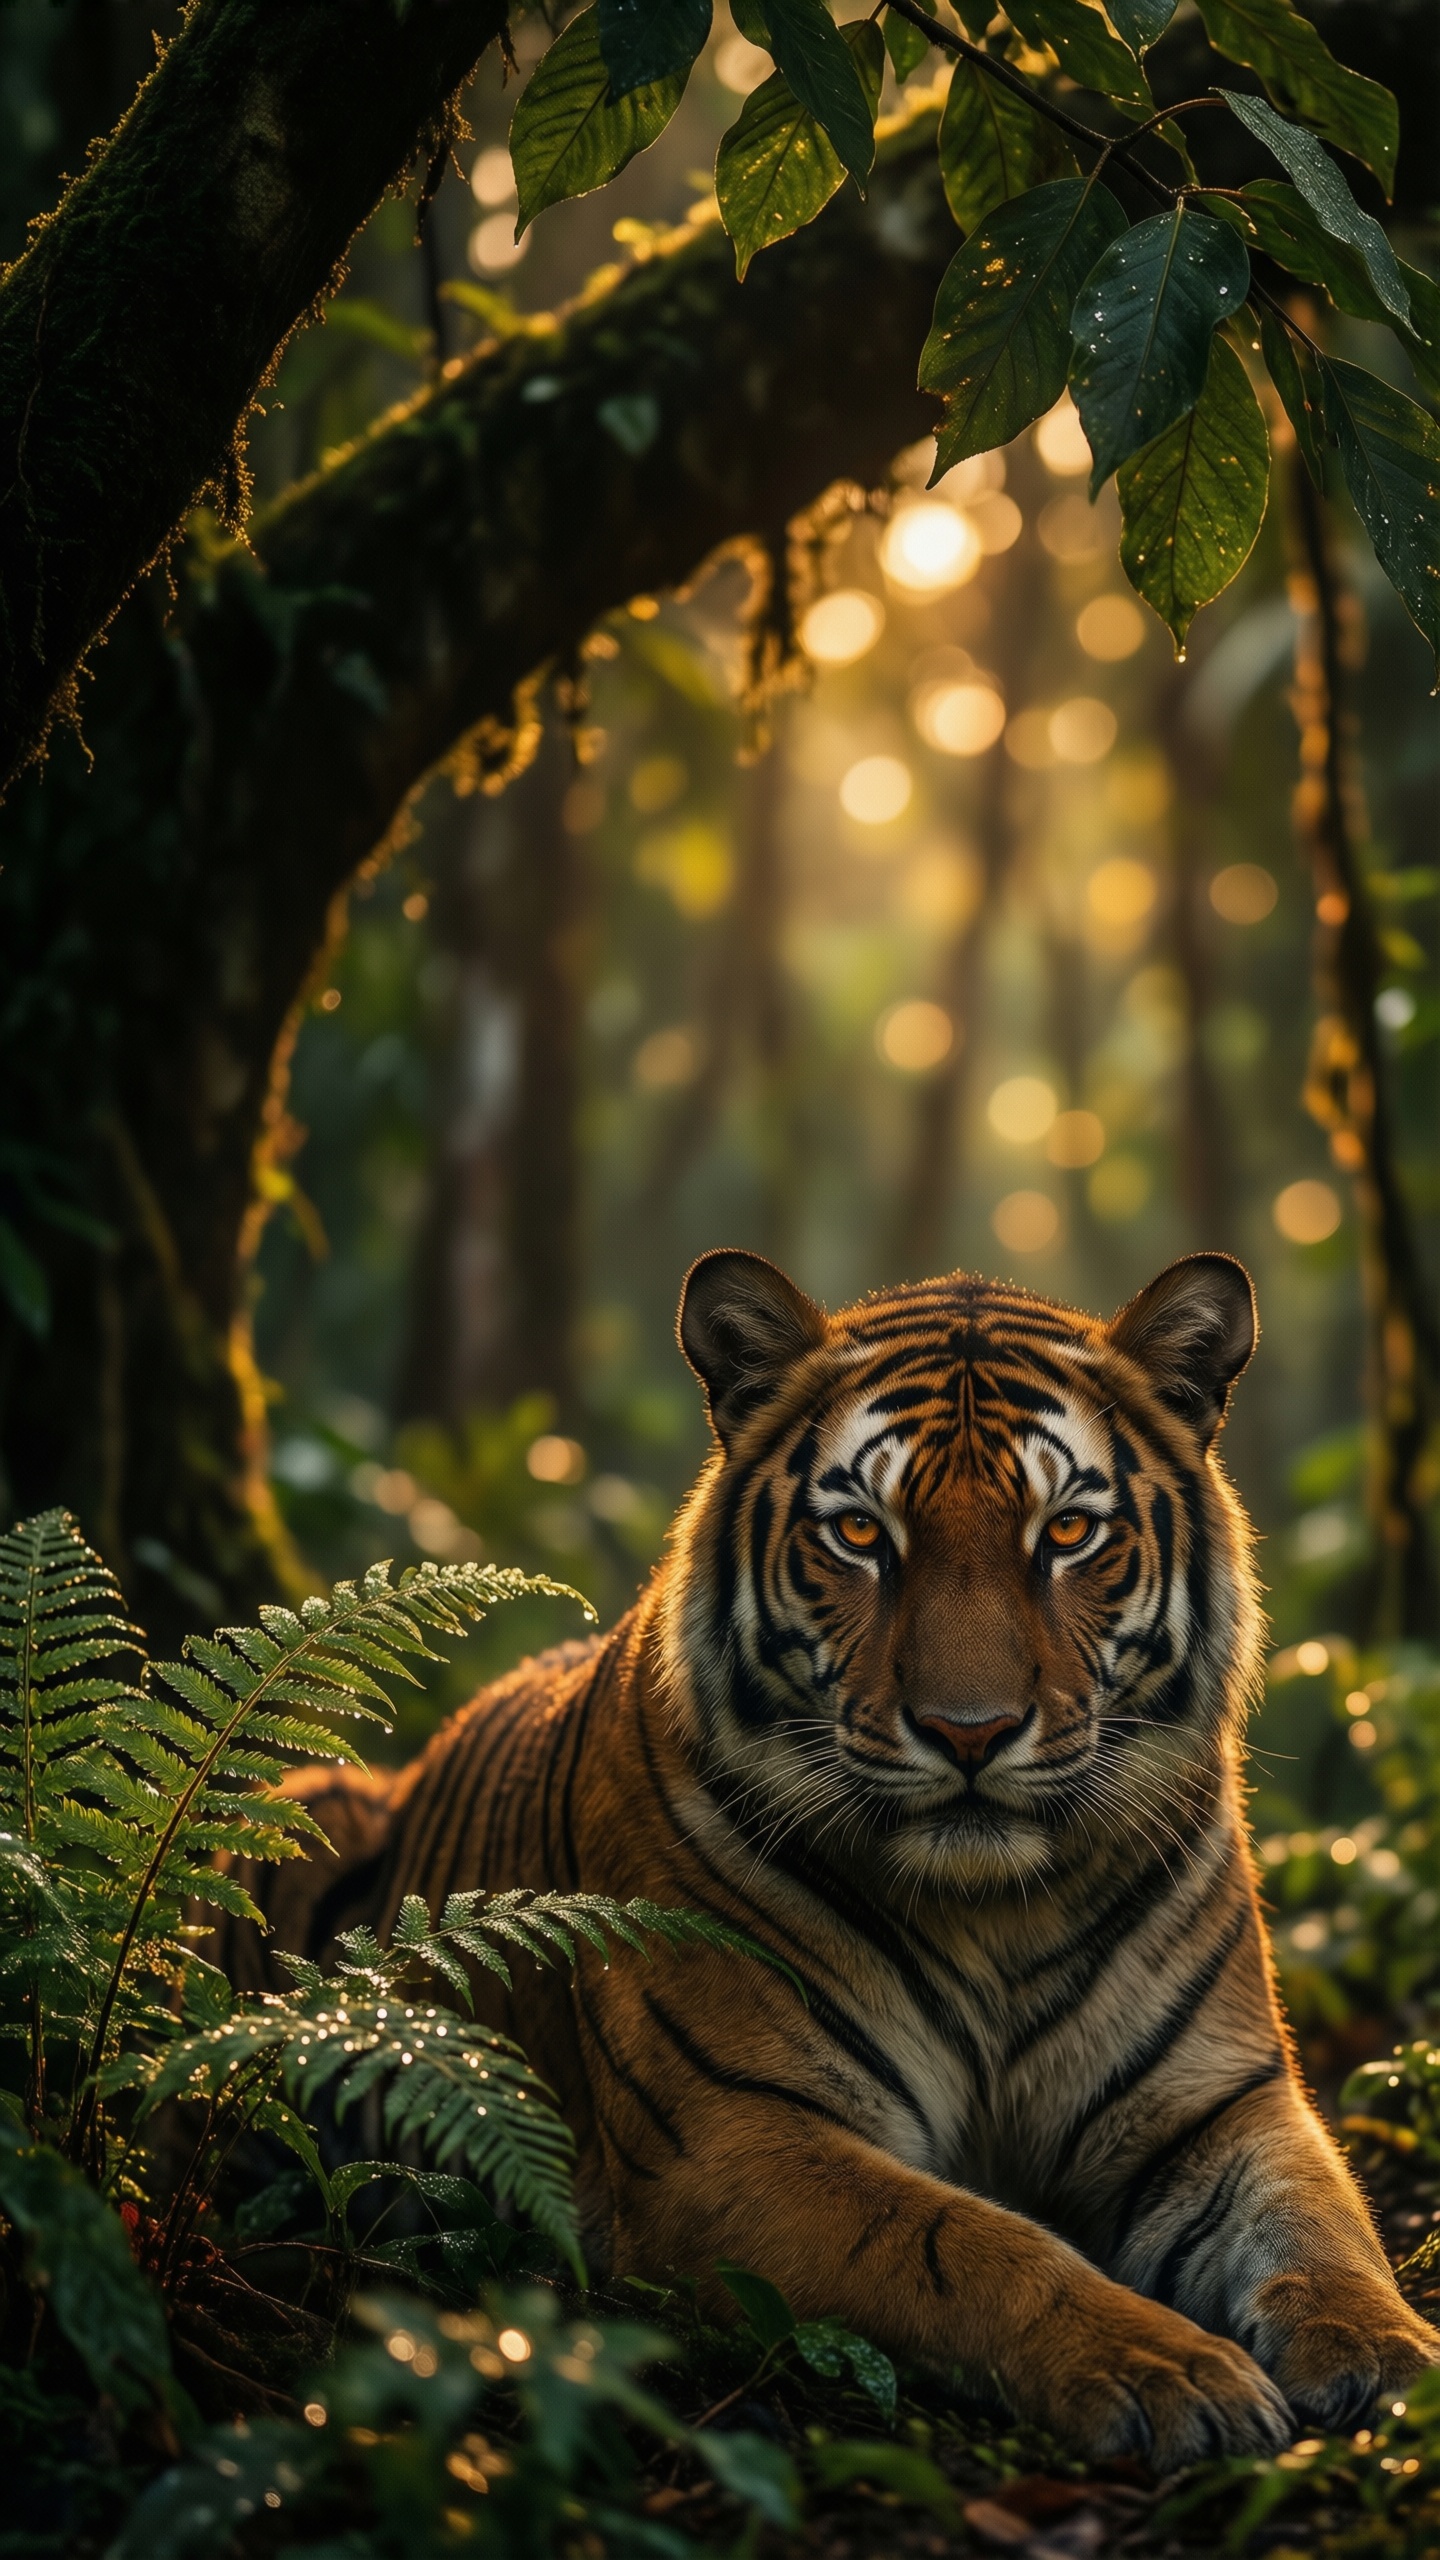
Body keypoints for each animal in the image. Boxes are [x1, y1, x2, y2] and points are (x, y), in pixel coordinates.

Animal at [225, 1248, 1436, 2466]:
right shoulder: (732, 2135)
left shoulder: (1217, 2105)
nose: (968, 1731)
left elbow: (1325, 2228)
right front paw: (1170, 2368)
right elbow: (972, 2246)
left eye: (1066, 1534)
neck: (996, 1913)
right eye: (860, 1535)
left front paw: (1395, 2357)